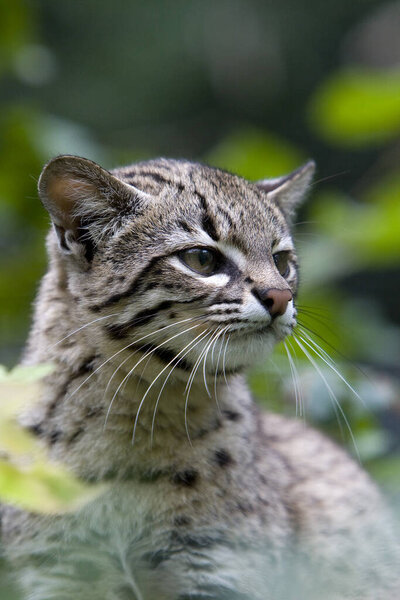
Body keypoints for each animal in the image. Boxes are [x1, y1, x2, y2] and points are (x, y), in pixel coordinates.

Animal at [1, 155, 398, 600]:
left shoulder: (217, 568)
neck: (133, 412)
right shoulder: (56, 574)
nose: (281, 297)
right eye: (202, 260)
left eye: (281, 262)